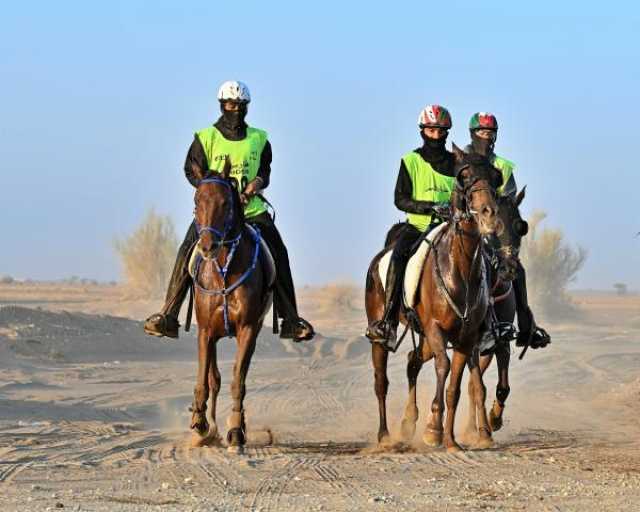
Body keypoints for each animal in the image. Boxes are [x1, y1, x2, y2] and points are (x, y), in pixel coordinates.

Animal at [188, 159, 272, 452]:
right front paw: (200, 425)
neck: (224, 269)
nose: (208, 246)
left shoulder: (247, 329)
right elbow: (204, 380)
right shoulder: (205, 332)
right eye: (197, 200)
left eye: (226, 203)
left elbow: (238, 381)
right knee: (213, 378)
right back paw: (208, 425)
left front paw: (236, 431)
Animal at [364, 145, 504, 452]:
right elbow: (444, 367)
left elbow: (456, 386)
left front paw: (450, 440)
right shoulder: (436, 329)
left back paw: (408, 424)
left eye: (495, 177)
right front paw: (433, 431)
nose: (490, 216)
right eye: (464, 176)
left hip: (425, 337)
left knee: (412, 360)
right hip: (385, 332)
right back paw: (384, 435)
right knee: (381, 381)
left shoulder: (465, 338)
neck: (460, 268)